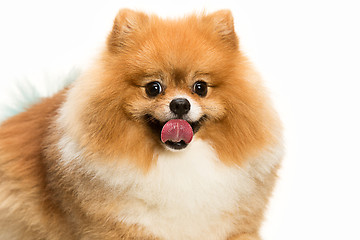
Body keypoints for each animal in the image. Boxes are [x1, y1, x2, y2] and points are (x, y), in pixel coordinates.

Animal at [0, 8, 282, 240]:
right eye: (153, 88)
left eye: (200, 87)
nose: (180, 104)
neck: (178, 164)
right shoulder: (122, 226)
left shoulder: (236, 227)